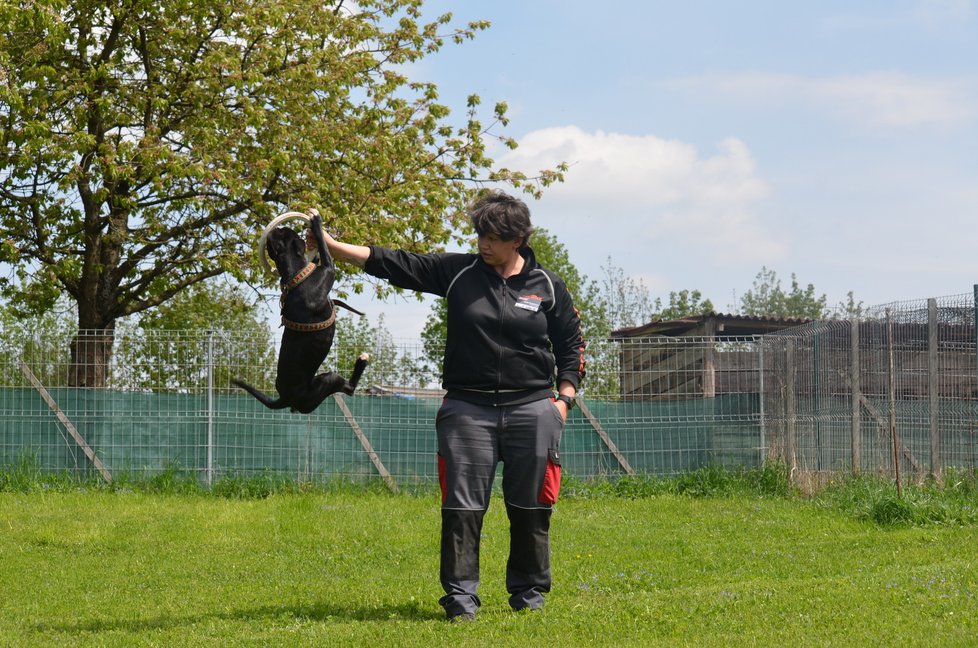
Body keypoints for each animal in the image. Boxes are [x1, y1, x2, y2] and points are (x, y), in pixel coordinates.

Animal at [232, 213, 366, 416]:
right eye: (284, 232)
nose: (276, 227)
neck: (296, 275)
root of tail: (285, 399)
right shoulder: (329, 271)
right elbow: (326, 252)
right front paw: (318, 224)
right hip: (327, 381)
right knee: (349, 389)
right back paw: (361, 361)